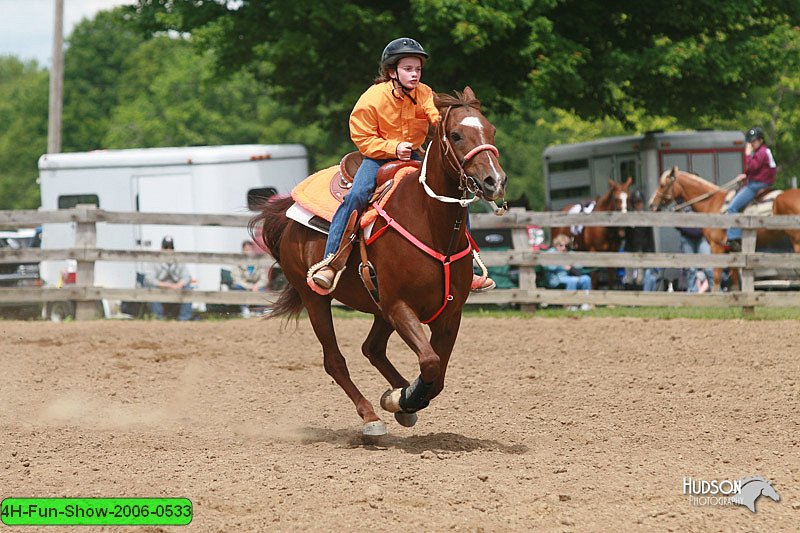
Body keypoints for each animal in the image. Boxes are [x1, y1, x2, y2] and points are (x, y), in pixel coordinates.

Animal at [253, 88, 510, 436]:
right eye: (456, 135)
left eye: (491, 130)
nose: (494, 181)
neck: (431, 225)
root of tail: (287, 212)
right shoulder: (399, 306)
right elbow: (430, 363)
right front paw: (402, 399)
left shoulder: (448, 315)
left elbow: (437, 374)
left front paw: (403, 397)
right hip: (316, 299)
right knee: (335, 360)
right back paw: (371, 417)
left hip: (378, 309)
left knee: (371, 349)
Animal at [648, 168, 800, 288]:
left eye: (662, 185)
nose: (651, 205)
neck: (712, 203)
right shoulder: (731, 251)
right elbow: (734, 281)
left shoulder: (717, 247)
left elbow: (716, 276)